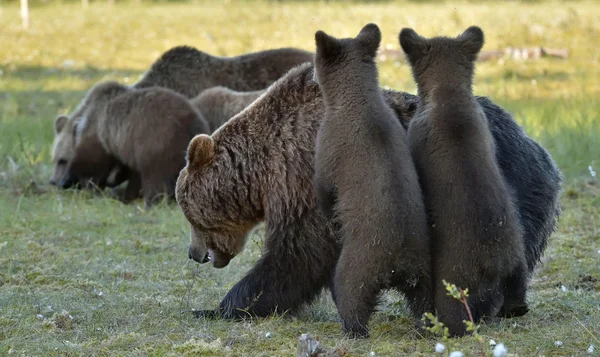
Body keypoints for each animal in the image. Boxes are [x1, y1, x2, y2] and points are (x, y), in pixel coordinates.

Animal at [175, 60, 564, 334]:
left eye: (190, 216)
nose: (194, 254)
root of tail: (540, 150)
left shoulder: (309, 176)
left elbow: (297, 256)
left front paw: (218, 307)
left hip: (490, 195)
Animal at [312, 24, 434, 336]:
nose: (311, 74)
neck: (356, 99)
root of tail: (397, 262)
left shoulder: (329, 144)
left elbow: (324, 189)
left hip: (359, 262)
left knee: (349, 291)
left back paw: (353, 328)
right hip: (423, 269)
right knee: (424, 298)